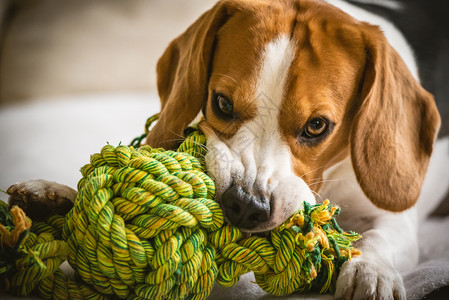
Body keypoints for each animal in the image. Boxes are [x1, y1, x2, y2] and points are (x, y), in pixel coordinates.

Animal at [7, 0, 448, 300]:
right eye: (222, 103)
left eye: (317, 126)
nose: (245, 205)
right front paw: (55, 196)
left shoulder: (395, 220)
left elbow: (378, 238)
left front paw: (370, 271)